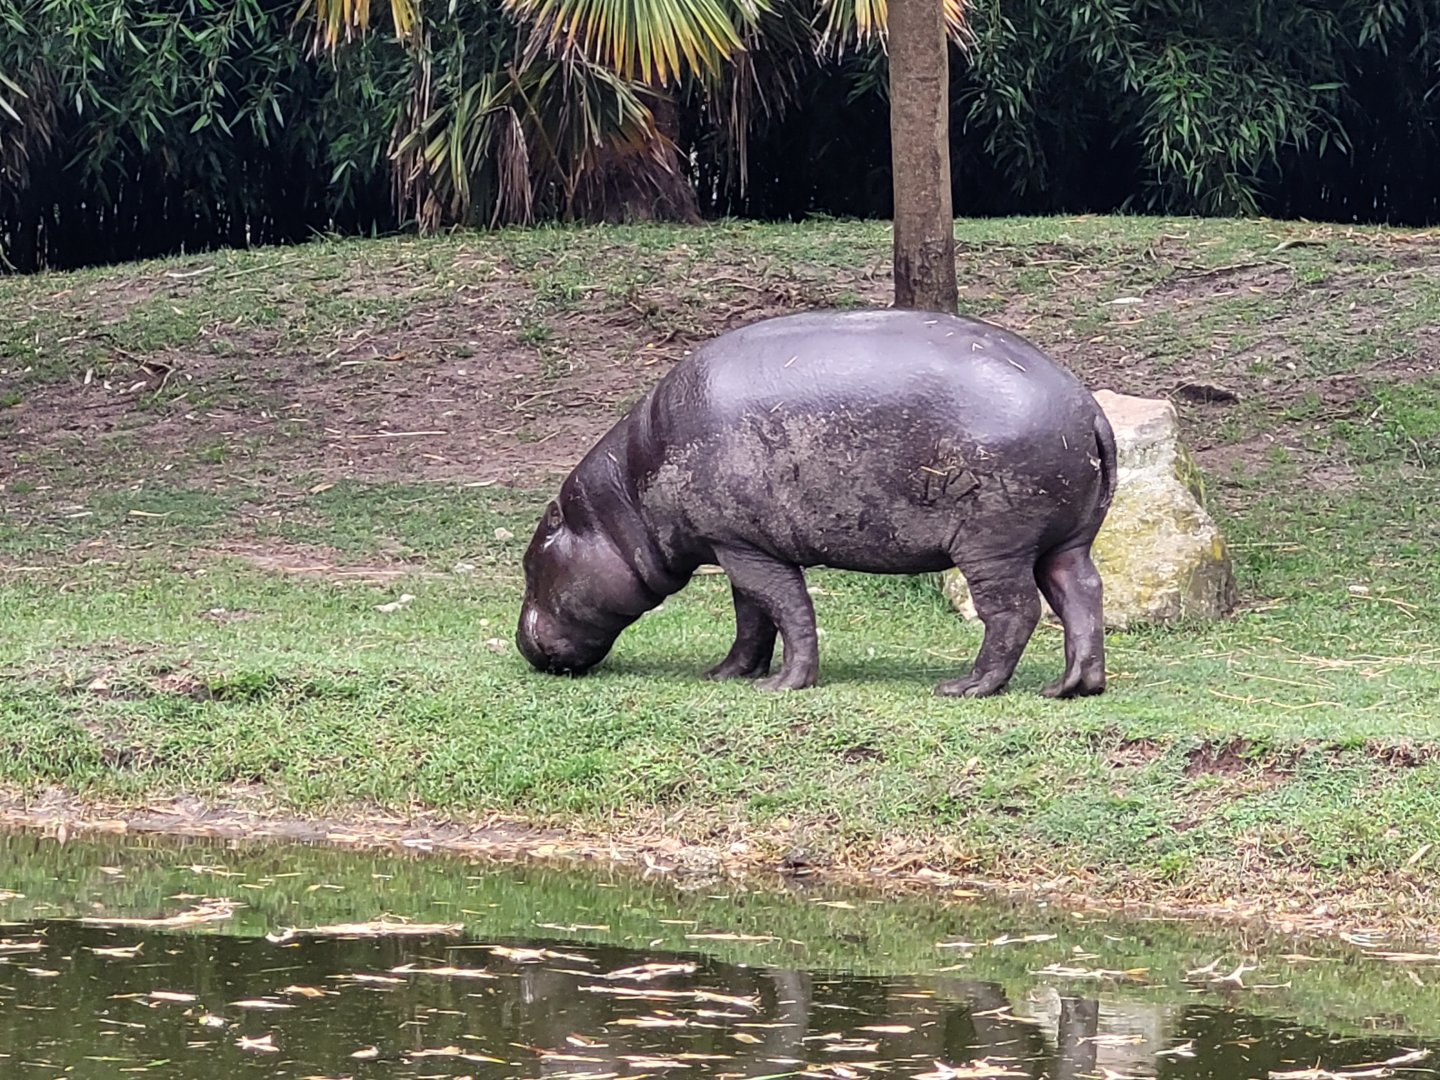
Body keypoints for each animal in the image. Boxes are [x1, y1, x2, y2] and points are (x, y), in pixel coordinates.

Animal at [516, 308, 1117, 698]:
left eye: (530, 562)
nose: (522, 642)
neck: (622, 505)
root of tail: (1088, 409)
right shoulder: (739, 545)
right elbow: (752, 618)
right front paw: (726, 675)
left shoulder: (742, 545)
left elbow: (786, 609)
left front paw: (784, 685)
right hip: (1066, 542)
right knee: (1081, 595)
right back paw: (1070, 687)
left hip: (994, 546)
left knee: (1014, 611)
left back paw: (965, 687)